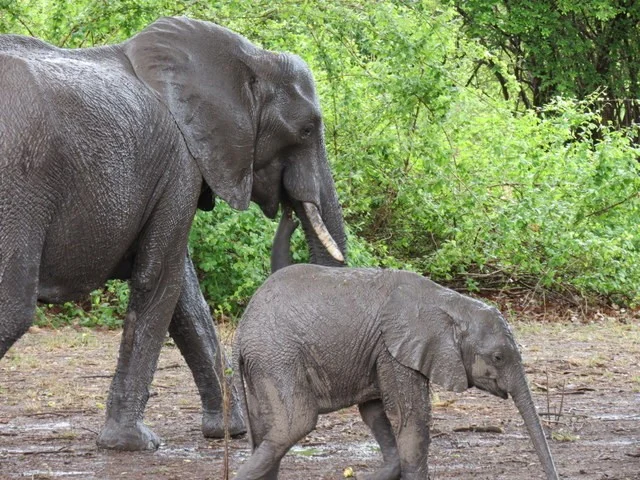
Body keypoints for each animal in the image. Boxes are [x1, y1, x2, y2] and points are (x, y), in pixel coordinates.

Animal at [0, 17, 346, 451]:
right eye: (306, 130)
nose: (291, 211)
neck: (249, 56)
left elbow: (185, 295)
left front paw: (228, 431)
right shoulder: (180, 164)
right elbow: (159, 278)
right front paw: (133, 443)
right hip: (19, 178)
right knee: (13, 308)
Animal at [234, 265, 559, 480]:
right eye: (498, 358)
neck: (451, 304)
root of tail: (241, 330)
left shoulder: (380, 353)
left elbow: (376, 412)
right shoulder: (395, 350)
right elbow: (411, 418)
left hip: (265, 363)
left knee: (266, 429)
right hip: (277, 355)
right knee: (294, 424)